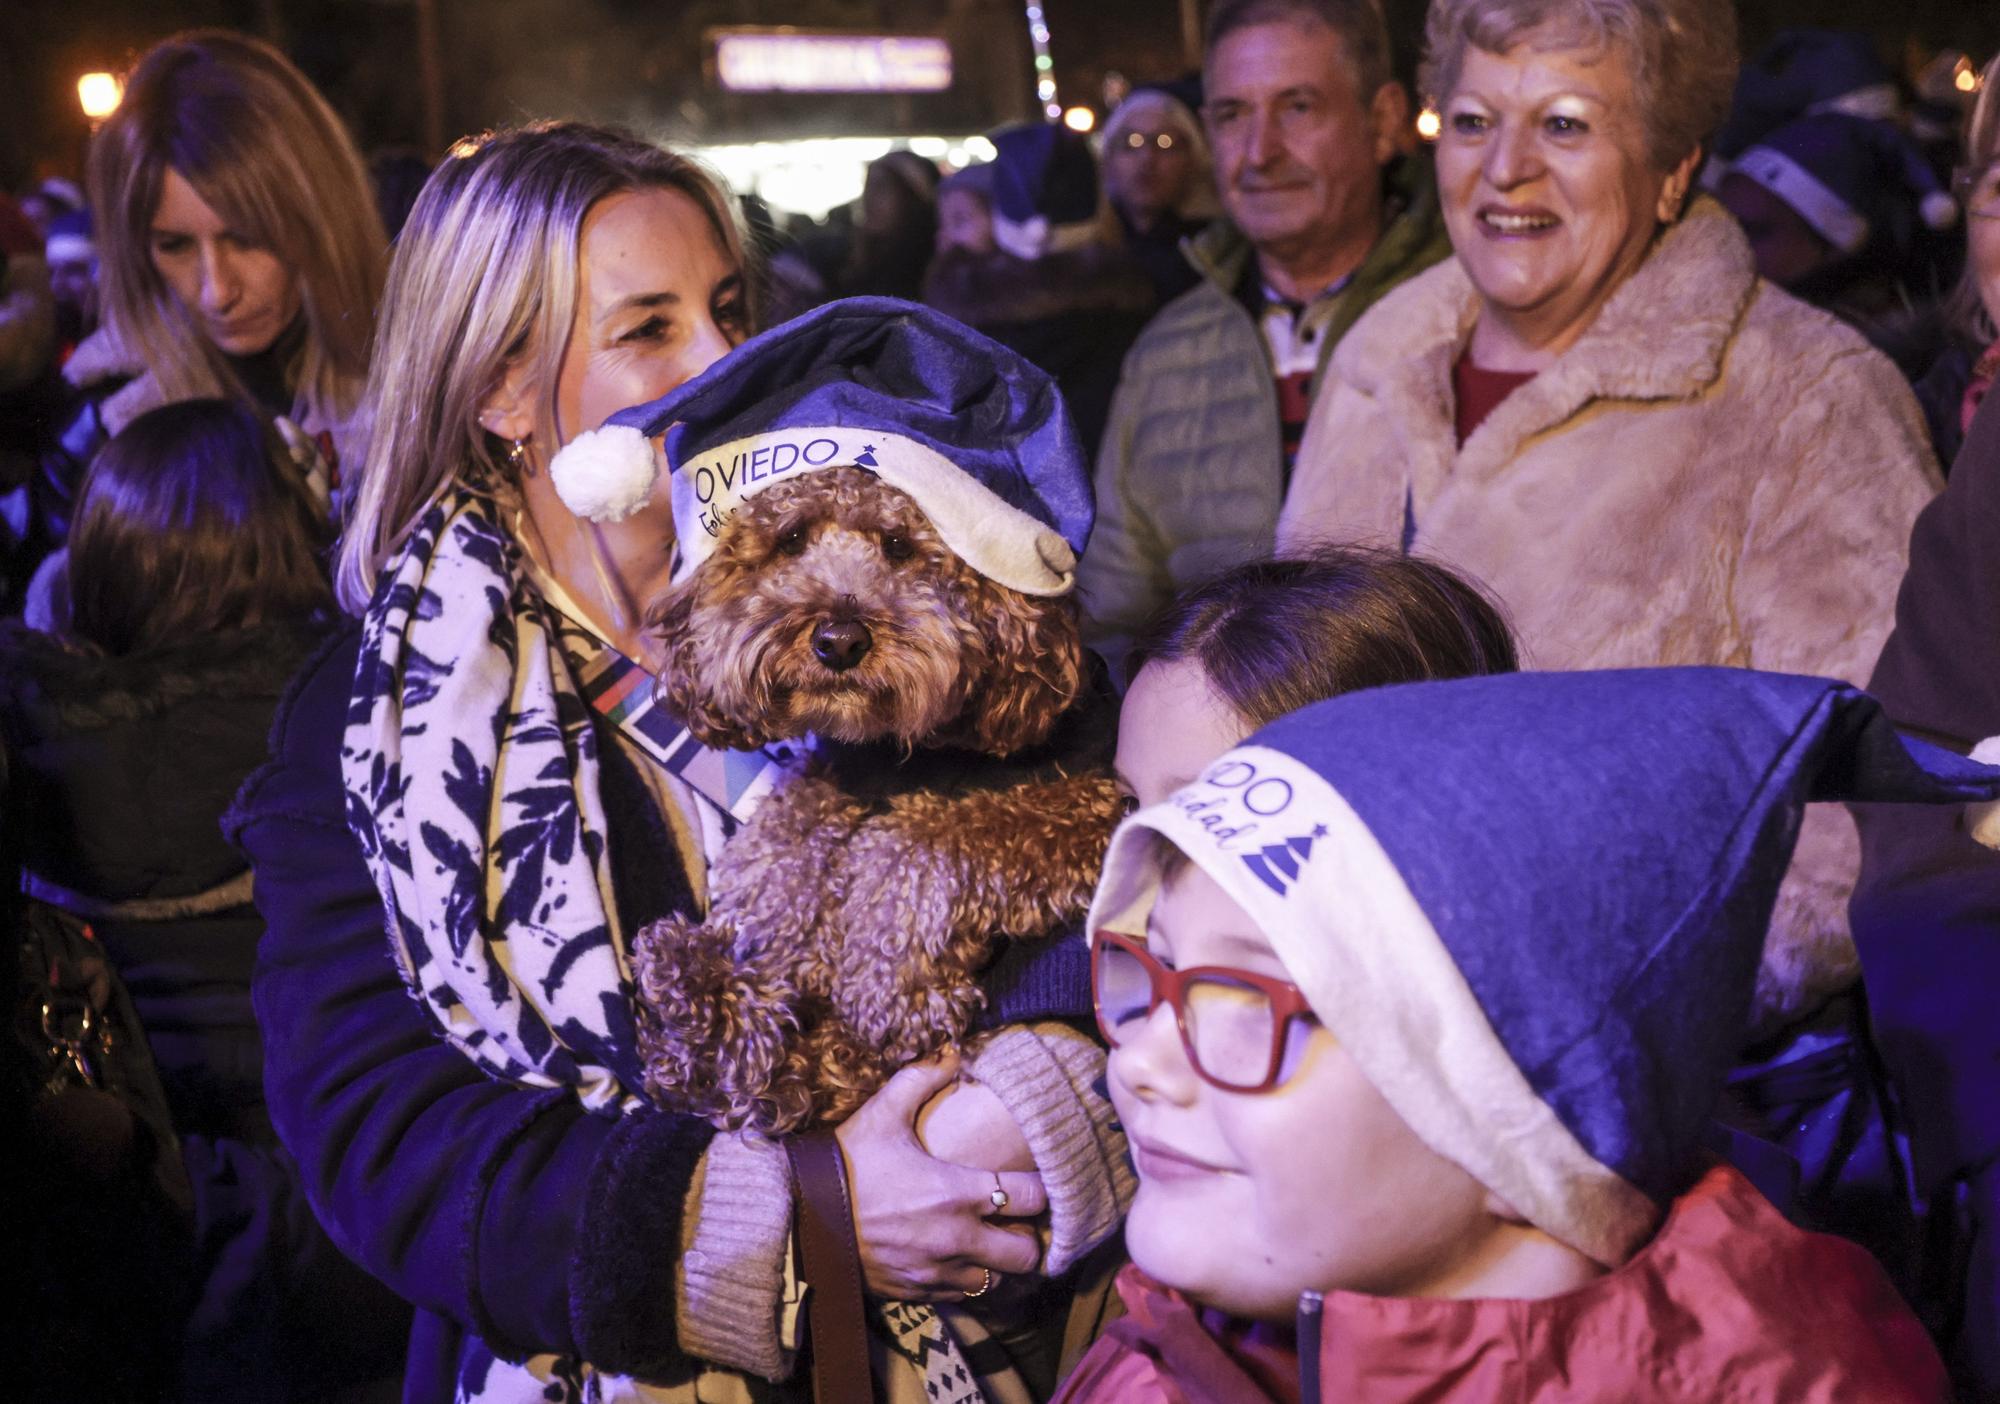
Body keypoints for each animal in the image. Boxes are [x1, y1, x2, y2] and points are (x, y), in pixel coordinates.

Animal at [624, 468, 1128, 1136]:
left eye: (898, 545)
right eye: (790, 539)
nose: (839, 640)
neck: (896, 754)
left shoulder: (1087, 805)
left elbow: (931, 839)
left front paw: (884, 980)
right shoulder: (837, 775)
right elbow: (793, 831)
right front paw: (775, 922)